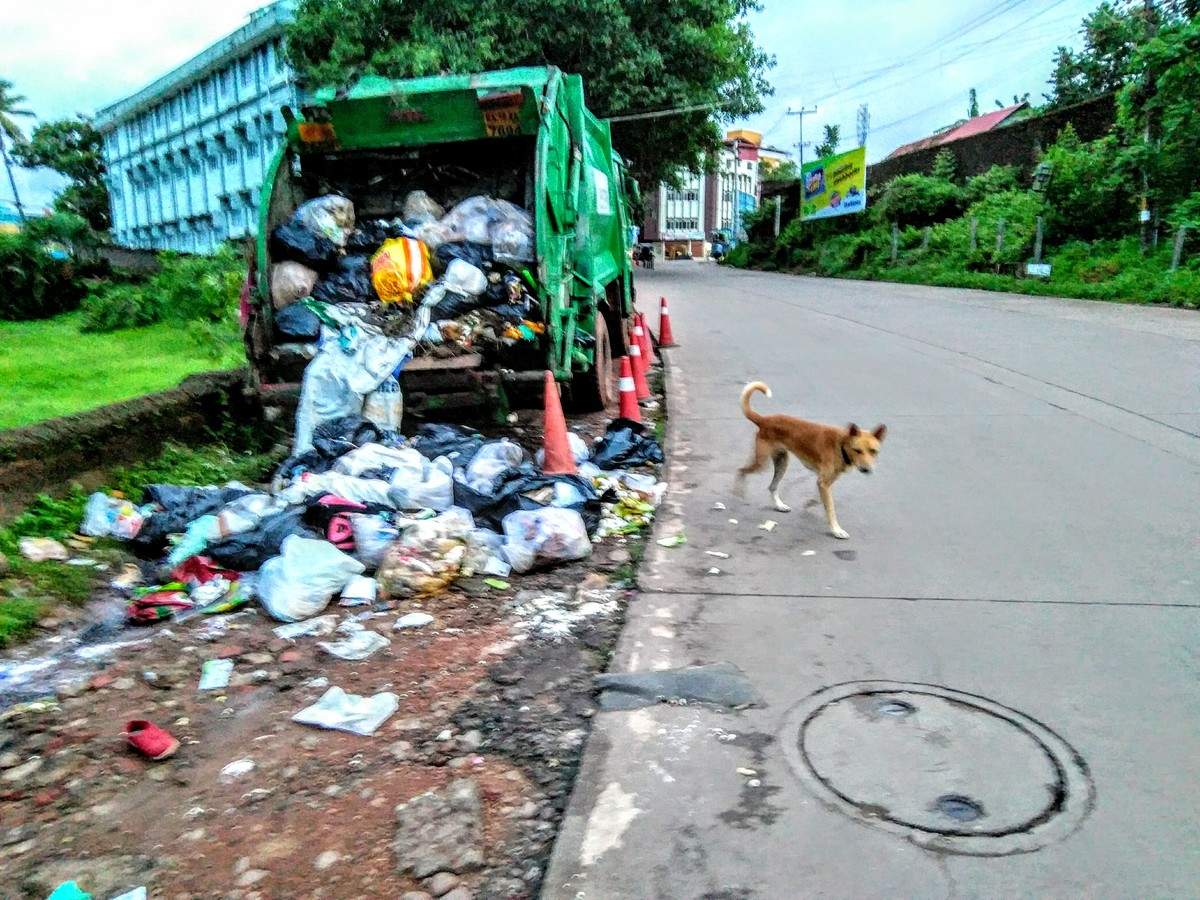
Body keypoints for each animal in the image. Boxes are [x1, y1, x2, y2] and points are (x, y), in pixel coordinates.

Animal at [724, 381, 888, 542]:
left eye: (873, 451)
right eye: (857, 450)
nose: (867, 470)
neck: (841, 444)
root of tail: (764, 420)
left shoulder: (824, 482)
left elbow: (820, 500)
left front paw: (810, 504)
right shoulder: (824, 482)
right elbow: (830, 509)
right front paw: (836, 530)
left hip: (782, 462)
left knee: (772, 487)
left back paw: (779, 505)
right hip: (762, 463)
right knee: (741, 470)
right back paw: (737, 492)